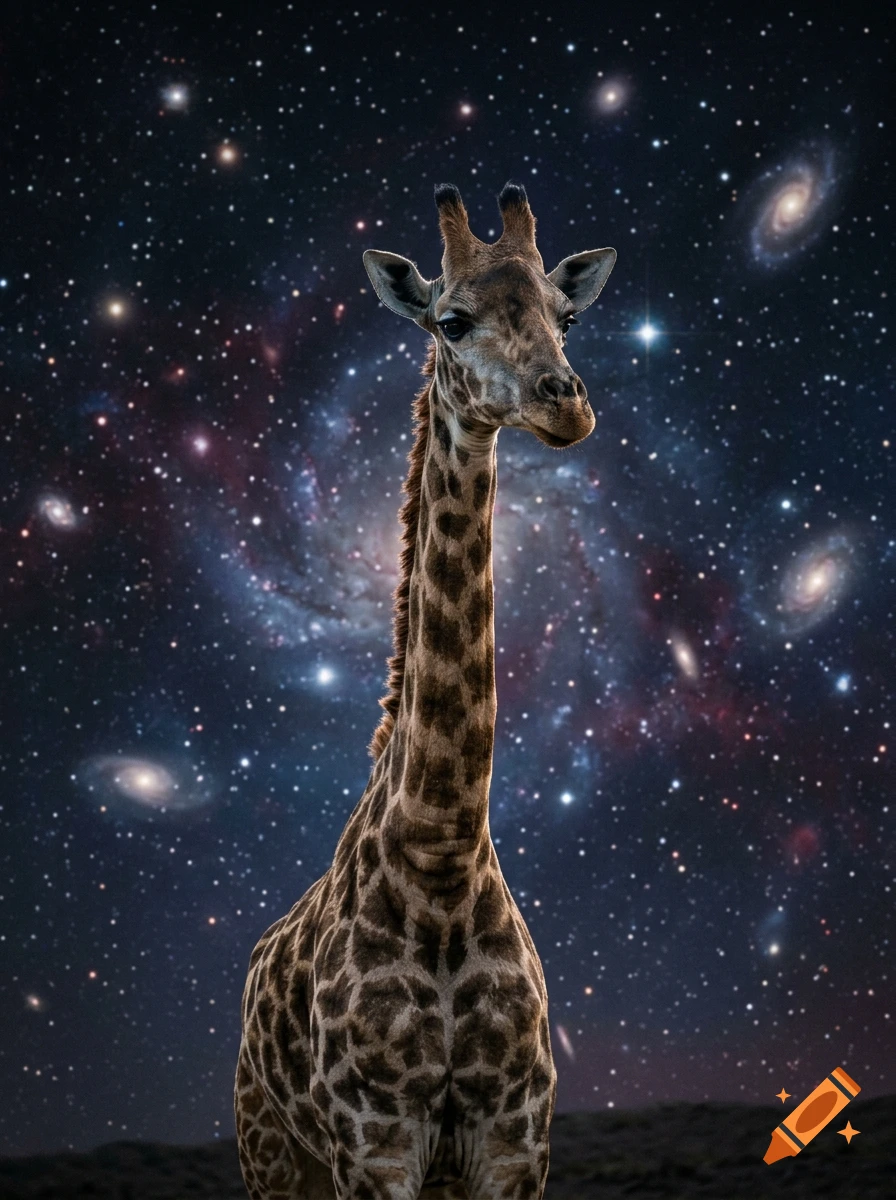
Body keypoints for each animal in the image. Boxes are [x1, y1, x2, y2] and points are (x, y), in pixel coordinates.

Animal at [235, 182, 616, 1200]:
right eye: (452, 320)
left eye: (567, 316)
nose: (567, 406)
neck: (440, 856)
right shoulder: (373, 1141)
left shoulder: (514, 1140)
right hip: (272, 1151)